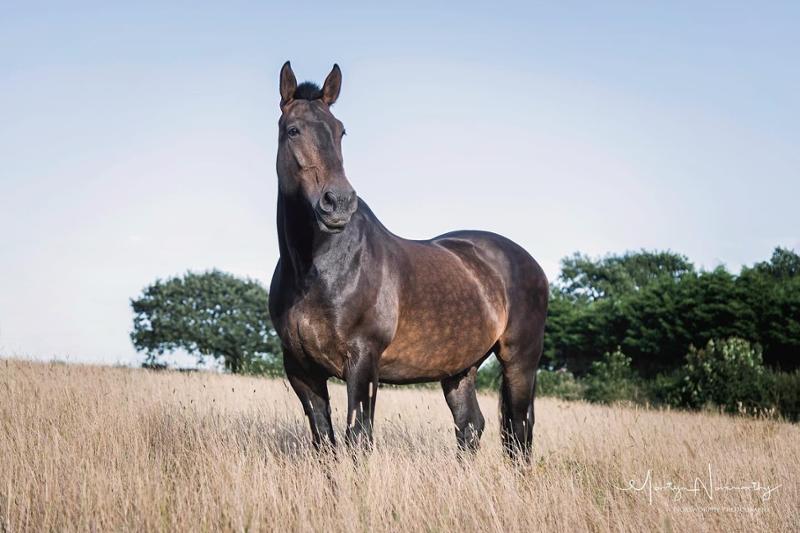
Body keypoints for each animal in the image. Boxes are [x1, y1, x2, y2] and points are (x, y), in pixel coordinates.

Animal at [268, 62, 549, 458]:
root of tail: (529, 263)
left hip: (520, 361)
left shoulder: (363, 363)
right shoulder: (301, 370)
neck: (314, 270)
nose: (338, 203)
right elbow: (324, 441)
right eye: (293, 130)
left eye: (341, 132)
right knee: (471, 426)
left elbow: (358, 438)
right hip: (460, 369)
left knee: (519, 433)